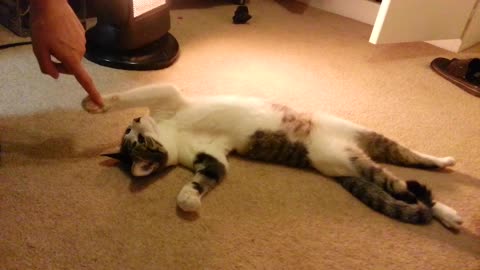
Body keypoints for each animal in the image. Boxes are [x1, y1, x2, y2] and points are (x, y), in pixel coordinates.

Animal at [81, 84, 462, 230]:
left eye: (135, 135)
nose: (134, 122)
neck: (174, 134)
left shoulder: (167, 96)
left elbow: (132, 94)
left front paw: (95, 103)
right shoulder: (213, 158)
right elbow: (204, 180)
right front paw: (189, 199)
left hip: (366, 136)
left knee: (411, 161)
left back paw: (445, 162)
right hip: (355, 163)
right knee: (404, 187)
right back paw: (447, 212)